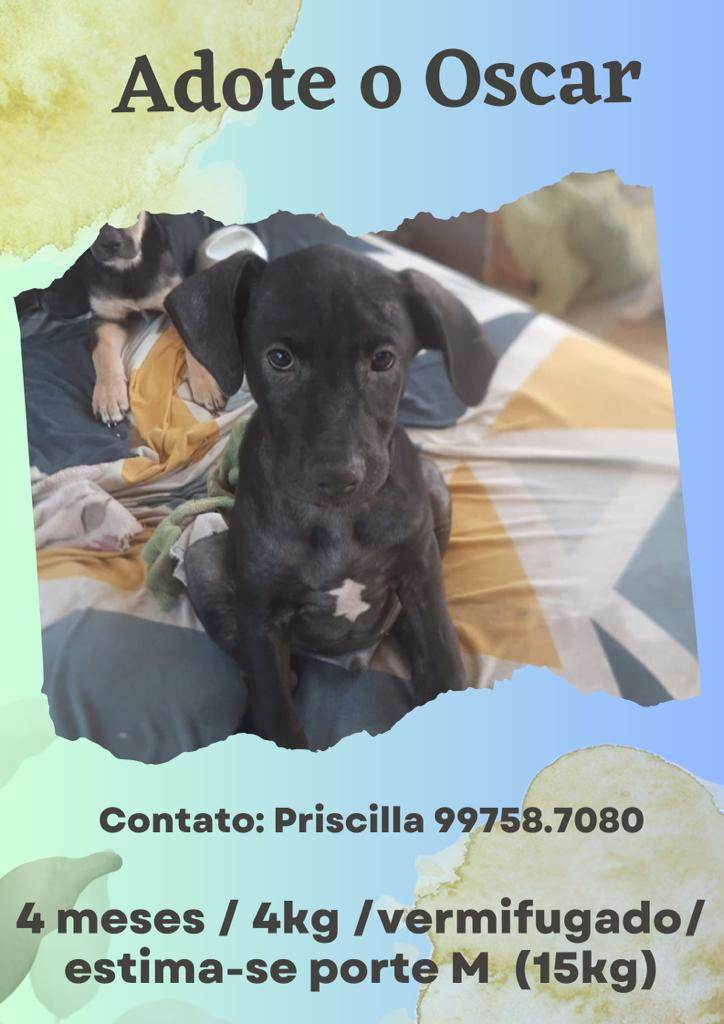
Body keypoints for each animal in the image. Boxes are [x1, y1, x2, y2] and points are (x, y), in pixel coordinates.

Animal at [165, 244, 497, 749]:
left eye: (383, 360)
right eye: (280, 358)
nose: (340, 476)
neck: (340, 520)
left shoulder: (422, 576)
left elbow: (444, 662)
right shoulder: (261, 618)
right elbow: (278, 713)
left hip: (435, 488)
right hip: (205, 559)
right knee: (270, 678)